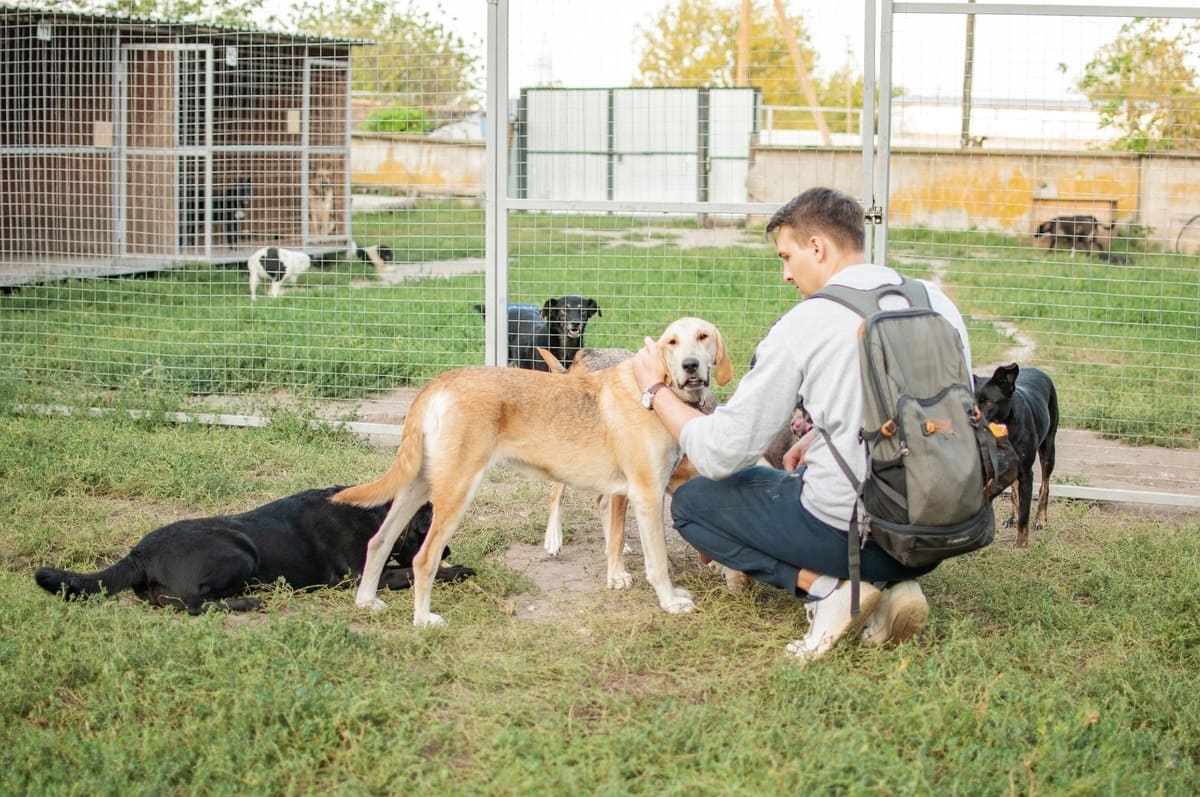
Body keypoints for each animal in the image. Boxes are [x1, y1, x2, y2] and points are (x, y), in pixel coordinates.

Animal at [32, 484, 472, 614]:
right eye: (430, 529)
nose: (448, 551)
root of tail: (139, 552)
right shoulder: (358, 576)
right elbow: (405, 571)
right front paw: (457, 570)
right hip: (239, 552)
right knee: (194, 604)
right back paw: (248, 601)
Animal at [333, 316, 734, 624]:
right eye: (672, 342)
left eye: (703, 336)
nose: (690, 366)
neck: (658, 392)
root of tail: (438, 384)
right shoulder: (647, 496)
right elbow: (657, 561)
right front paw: (669, 602)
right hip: (456, 491)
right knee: (424, 558)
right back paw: (423, 621)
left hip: (419, 486)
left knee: (379, 541)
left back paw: (366, 602)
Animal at [974, 364, 1060, 547]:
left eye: (987, 402)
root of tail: (1037, 370)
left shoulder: (1027, 473)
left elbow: (1025, 514)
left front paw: (1021, 545)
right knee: (1015, 490)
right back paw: (1013, 517)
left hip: (1048, 449)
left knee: (1045, 486)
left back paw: (1041, 519)